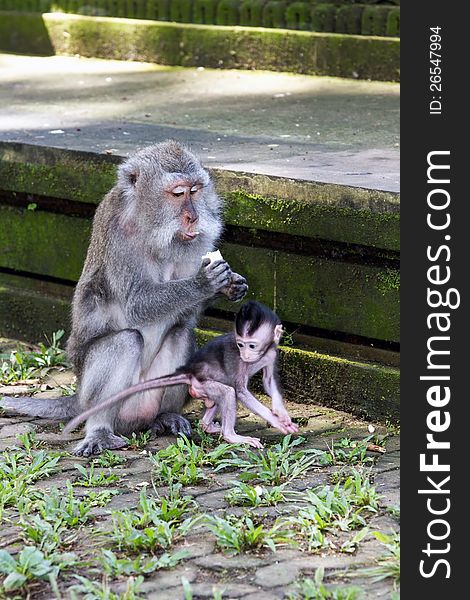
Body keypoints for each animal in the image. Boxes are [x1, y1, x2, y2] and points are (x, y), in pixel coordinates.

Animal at [0, 141, 250, 454]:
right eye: (178, 193)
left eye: (195, 190)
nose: (193, 216)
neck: (149, 227)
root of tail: (77, 397)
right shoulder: (119, 235)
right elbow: (136, 305)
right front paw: (204, 282)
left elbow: (184, 317)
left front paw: (231, 286)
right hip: (96, 398)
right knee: (125, 342)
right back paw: (99, 431)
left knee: (180, 334)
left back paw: (165, 416)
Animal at [63, 302, 298, 448]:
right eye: (240, 344)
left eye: (252, 345)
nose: (246, 354)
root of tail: (190, 373)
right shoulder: (239, 362)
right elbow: (240, 391)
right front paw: (278, 422)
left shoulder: (270, 354)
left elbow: (269, 382)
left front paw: (281, 413)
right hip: (202, 385)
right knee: (227, 391)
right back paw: (230, 435)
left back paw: (207, 425)